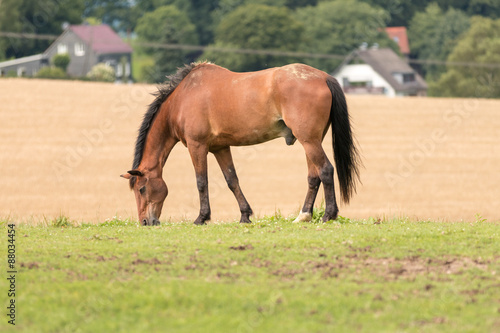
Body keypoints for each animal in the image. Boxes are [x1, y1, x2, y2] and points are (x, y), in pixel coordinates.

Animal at [123, 61, 362, 224]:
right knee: (314, 176)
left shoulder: (197, 146)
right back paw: (303, 216)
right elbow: (232, 180)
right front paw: (245, 215)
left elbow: (201, 182)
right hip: (312, 140)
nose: (145, 222)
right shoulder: (220, 148)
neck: (182, 99)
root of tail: (323, 77)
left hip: (309, 141)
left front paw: (202, 217)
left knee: (326, 170)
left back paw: (329, 215)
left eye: (142, 189)